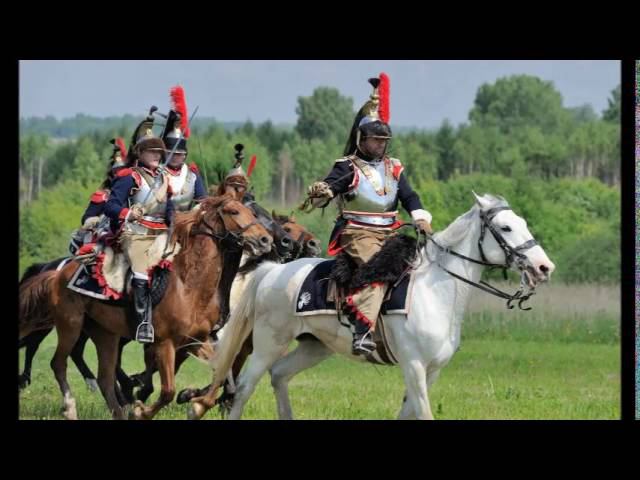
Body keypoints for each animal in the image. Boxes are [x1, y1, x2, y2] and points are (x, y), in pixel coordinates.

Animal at [18, 193, 272, 418]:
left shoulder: (196, 341)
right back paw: (71, 408)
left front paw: (196, 405)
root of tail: (59, 273)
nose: (265, 240)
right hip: (70, 325)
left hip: (105, 334)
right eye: (233, 211)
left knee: (105, 378)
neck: (189, 287)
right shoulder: (164, 344)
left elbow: (221, 375)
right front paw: (142, 410)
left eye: (252, 212)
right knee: (58, 363)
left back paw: (120, 411)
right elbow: (167, 391)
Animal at [189, 193, 556, 418]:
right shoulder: (414, 365)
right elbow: (423, 412)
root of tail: (271, 271)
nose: (544, 267)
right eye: (506, 227)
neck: (437, 292)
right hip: (268, 343)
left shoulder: (431, 371)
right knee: (244, 388)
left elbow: (409, 412)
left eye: (523, 223)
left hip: (315, 347)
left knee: (279, 376)